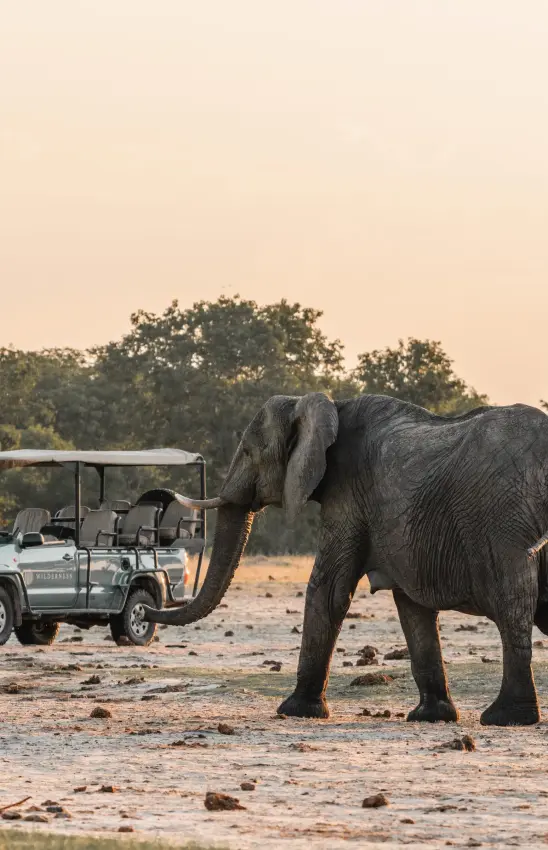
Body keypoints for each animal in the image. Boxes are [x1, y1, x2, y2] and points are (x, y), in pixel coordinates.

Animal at [144, 392, 548, 727]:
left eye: (247, 451)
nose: (146, 610)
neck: (318, 404)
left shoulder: (347, 495)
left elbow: (328, 591)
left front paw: (294, 711)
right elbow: (411, 607)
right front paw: (430, 717)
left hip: (503, 523)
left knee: (513, 604)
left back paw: (504, 718)